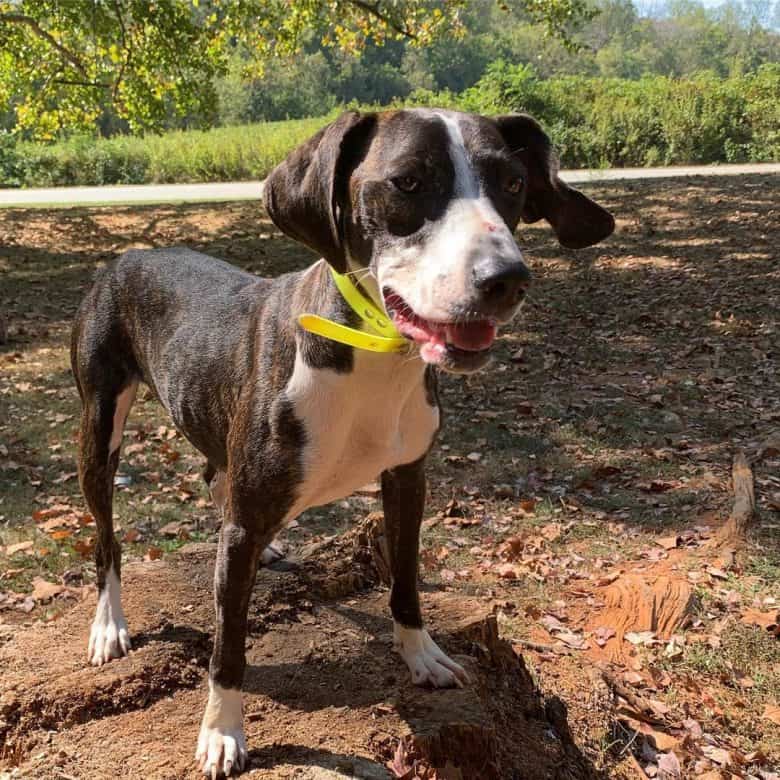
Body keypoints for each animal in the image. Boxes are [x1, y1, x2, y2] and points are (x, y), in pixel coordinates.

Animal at [70, 108, 612, 772]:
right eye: (408, 182)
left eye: (512, 184)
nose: (506, 279)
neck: (372, 358)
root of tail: (126, 257)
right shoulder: (246, 519)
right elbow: (228, 645)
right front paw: (222, 731)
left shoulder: (408, 479)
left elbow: (405, 579)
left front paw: (421, 655)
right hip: (99, 429)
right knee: (106, 538)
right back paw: (109, 624)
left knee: (212, 475)